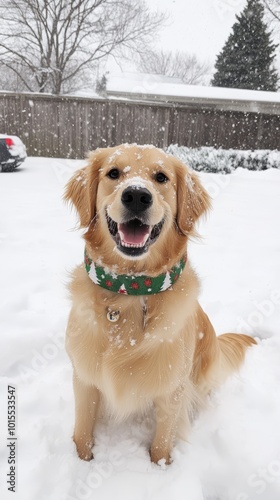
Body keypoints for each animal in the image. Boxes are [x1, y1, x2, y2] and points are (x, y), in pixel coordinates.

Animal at [64, 144, 258, 464]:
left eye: (161, 177)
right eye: (113, 173)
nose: (137, 196)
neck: (129, 291)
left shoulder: (172, 388)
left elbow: (162, 442)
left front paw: (161, 467)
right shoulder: (84, 377)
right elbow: (82, 431)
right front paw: (81, 462)